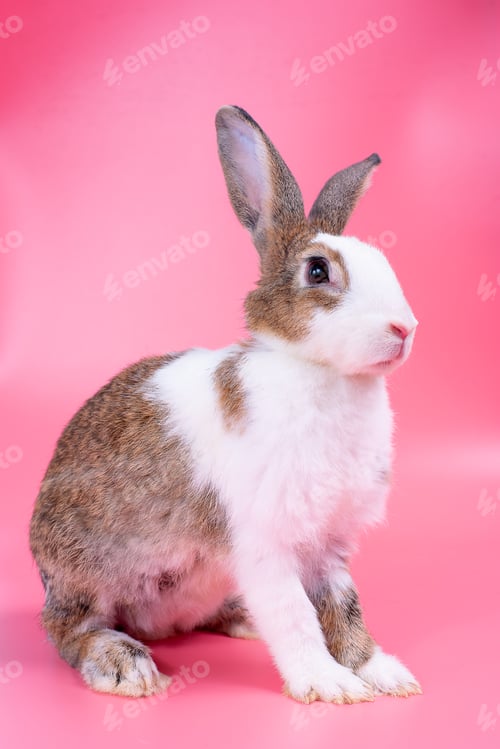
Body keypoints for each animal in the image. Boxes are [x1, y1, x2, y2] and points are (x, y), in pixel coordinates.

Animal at [29, 105, 421, 704]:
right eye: (318, 271)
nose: (405, 328)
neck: (319, 372)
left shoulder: (329, 547)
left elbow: (345, 610)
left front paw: (384, 675)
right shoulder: (265, 544)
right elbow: (297, 617)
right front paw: (330, 685)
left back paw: (237, 619)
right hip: (87, 574)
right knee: (69, 629)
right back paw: (124, 665)